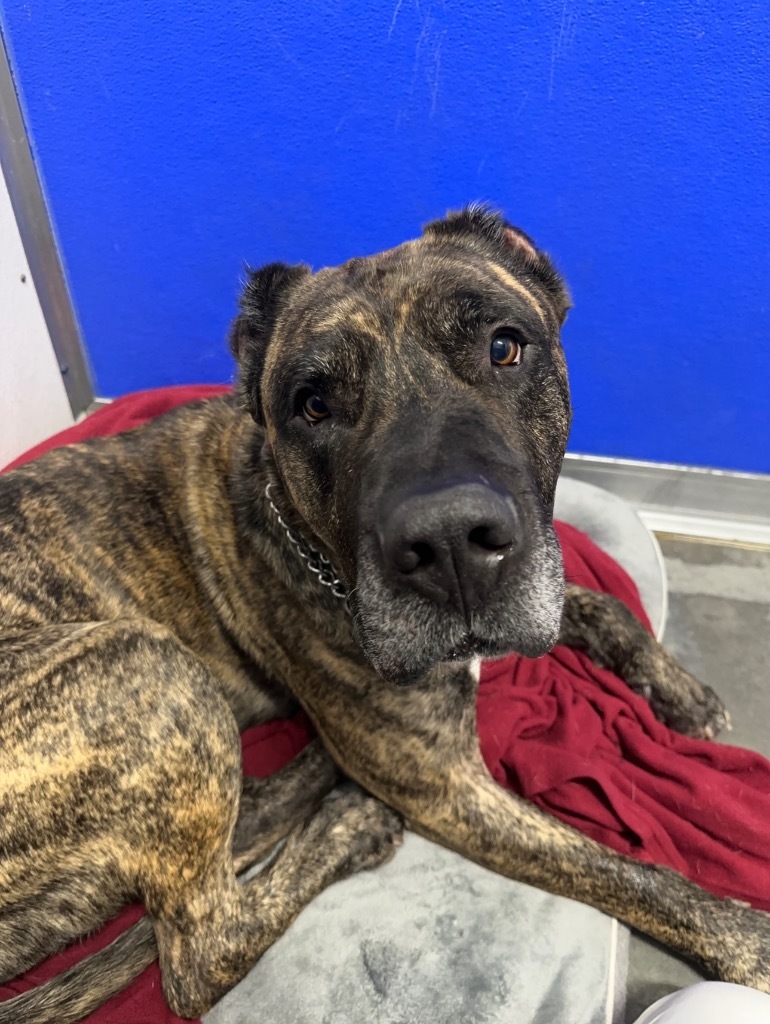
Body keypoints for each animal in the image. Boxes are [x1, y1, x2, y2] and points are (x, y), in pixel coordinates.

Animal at [1, 207, 770, 1024]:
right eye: (312, 404)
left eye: (504, 347)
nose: (452, 543)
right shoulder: (445, 784)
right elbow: (618, 869)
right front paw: (747, 942)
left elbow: (602, 604)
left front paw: (682, 693)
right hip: (140, 660)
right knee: (198, 946)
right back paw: (346, 823)